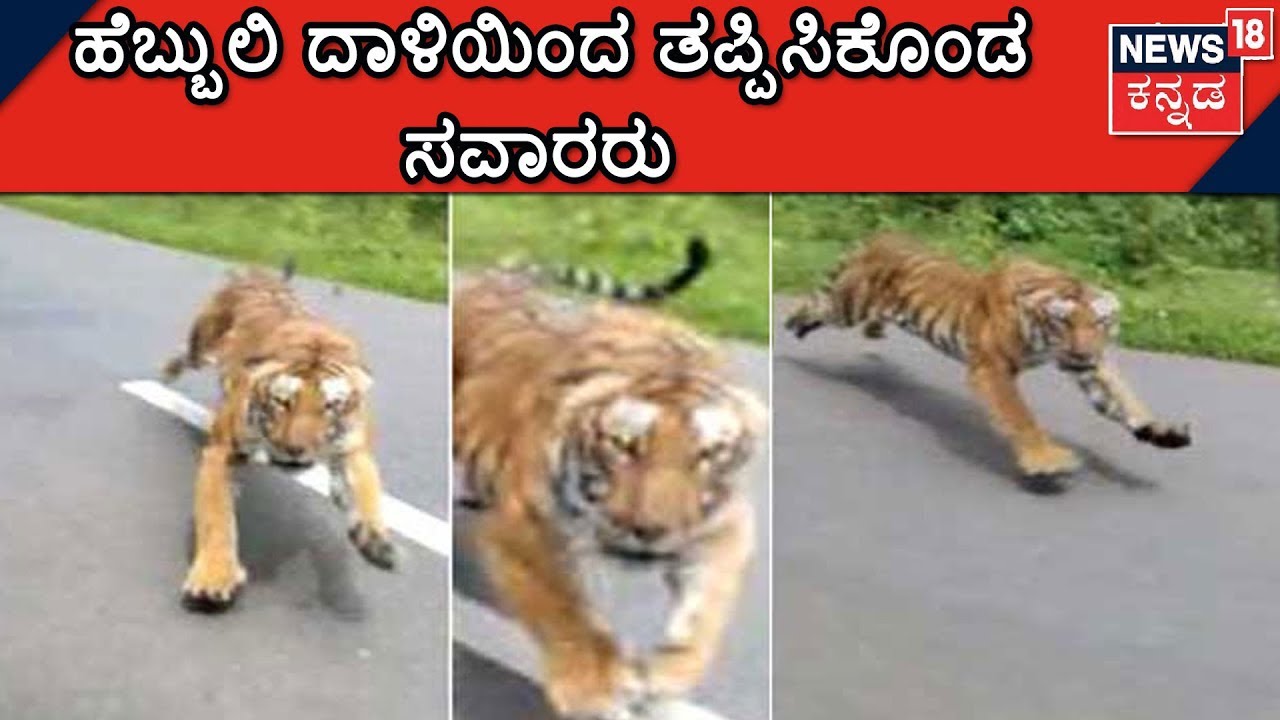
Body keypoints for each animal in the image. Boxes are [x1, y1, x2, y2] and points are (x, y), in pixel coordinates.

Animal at [163, 262, 395, 612]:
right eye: (282, 402)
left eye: (330, 405)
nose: (294, 449)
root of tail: (259, 272)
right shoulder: (222, 450)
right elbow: (217, 517)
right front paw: (213, 580)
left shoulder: (352, 448)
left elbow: (367, 492)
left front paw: (375, 540)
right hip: (203, 341)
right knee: (187, 354)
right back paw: (167, 373)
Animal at [453, 237, 766, 718]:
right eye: (624, 445)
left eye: (707, 454)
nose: (650, 532)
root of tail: (498, 273)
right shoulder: (525, 528)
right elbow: (564, 609)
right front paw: (594, 688)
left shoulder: (724, 528)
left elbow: (706, 612)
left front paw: (666, 677)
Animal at [784, 232, 1190, 493]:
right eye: (1064, 322)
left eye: (1101, 322)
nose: (1082, 353)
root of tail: (876, 238)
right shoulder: (992, 368)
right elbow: (1021, 416)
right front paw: (1046, 460)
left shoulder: (1092, 367)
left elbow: (1125, 398)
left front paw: (1161, 430)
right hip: (846, 305)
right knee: (813, 305)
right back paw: (791, 327)